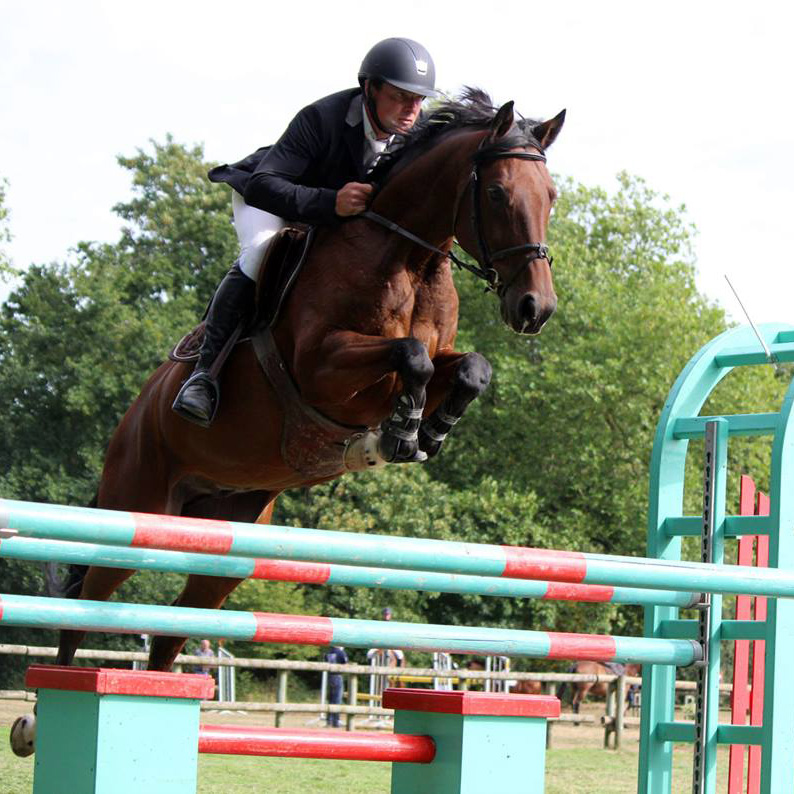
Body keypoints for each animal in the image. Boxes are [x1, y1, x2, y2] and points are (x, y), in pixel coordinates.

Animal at [54, 89, 564, 672]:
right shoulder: (324, 370)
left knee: (175, 627)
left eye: (550, 196)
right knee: (83, 606)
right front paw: (401, 433)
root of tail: (133, 416)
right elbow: (412, 357)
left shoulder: (429, 363)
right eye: (498, 194)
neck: (409, 259)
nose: (535, 308)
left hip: (228, 537)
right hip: (138, 507)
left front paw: (428, 433)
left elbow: (471, 368)